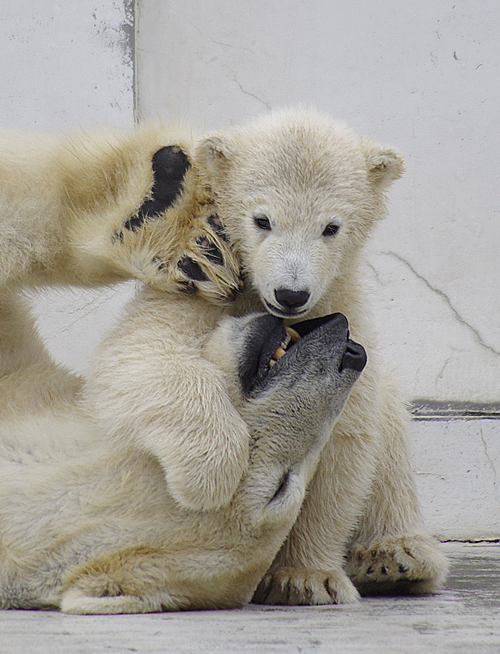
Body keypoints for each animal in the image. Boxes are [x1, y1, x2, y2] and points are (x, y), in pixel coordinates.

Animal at [88, 107, 448, 604]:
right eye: (262, 220)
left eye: (330, 227)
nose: (290, 294)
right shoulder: (208, 285)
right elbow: (140, 355)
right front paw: (212, 473)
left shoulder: (344, 313)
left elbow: (341, 440)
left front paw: (306, 577)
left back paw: (395, 557)